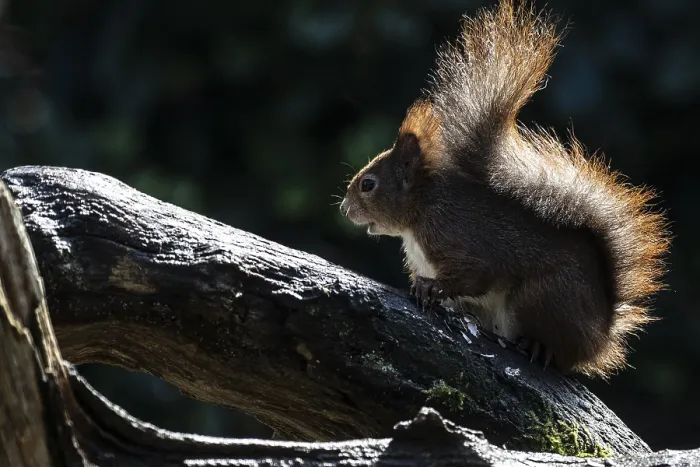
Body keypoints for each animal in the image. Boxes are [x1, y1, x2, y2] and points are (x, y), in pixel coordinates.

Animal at [339, 0, 669, 378]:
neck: (420, 212)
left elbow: (474, 275)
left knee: (558, 350)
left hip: (541, 299)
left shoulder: (458, 238)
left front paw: (431, 287)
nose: (344, 209)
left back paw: (539, 346)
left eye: (368, 184)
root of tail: (601, 335)